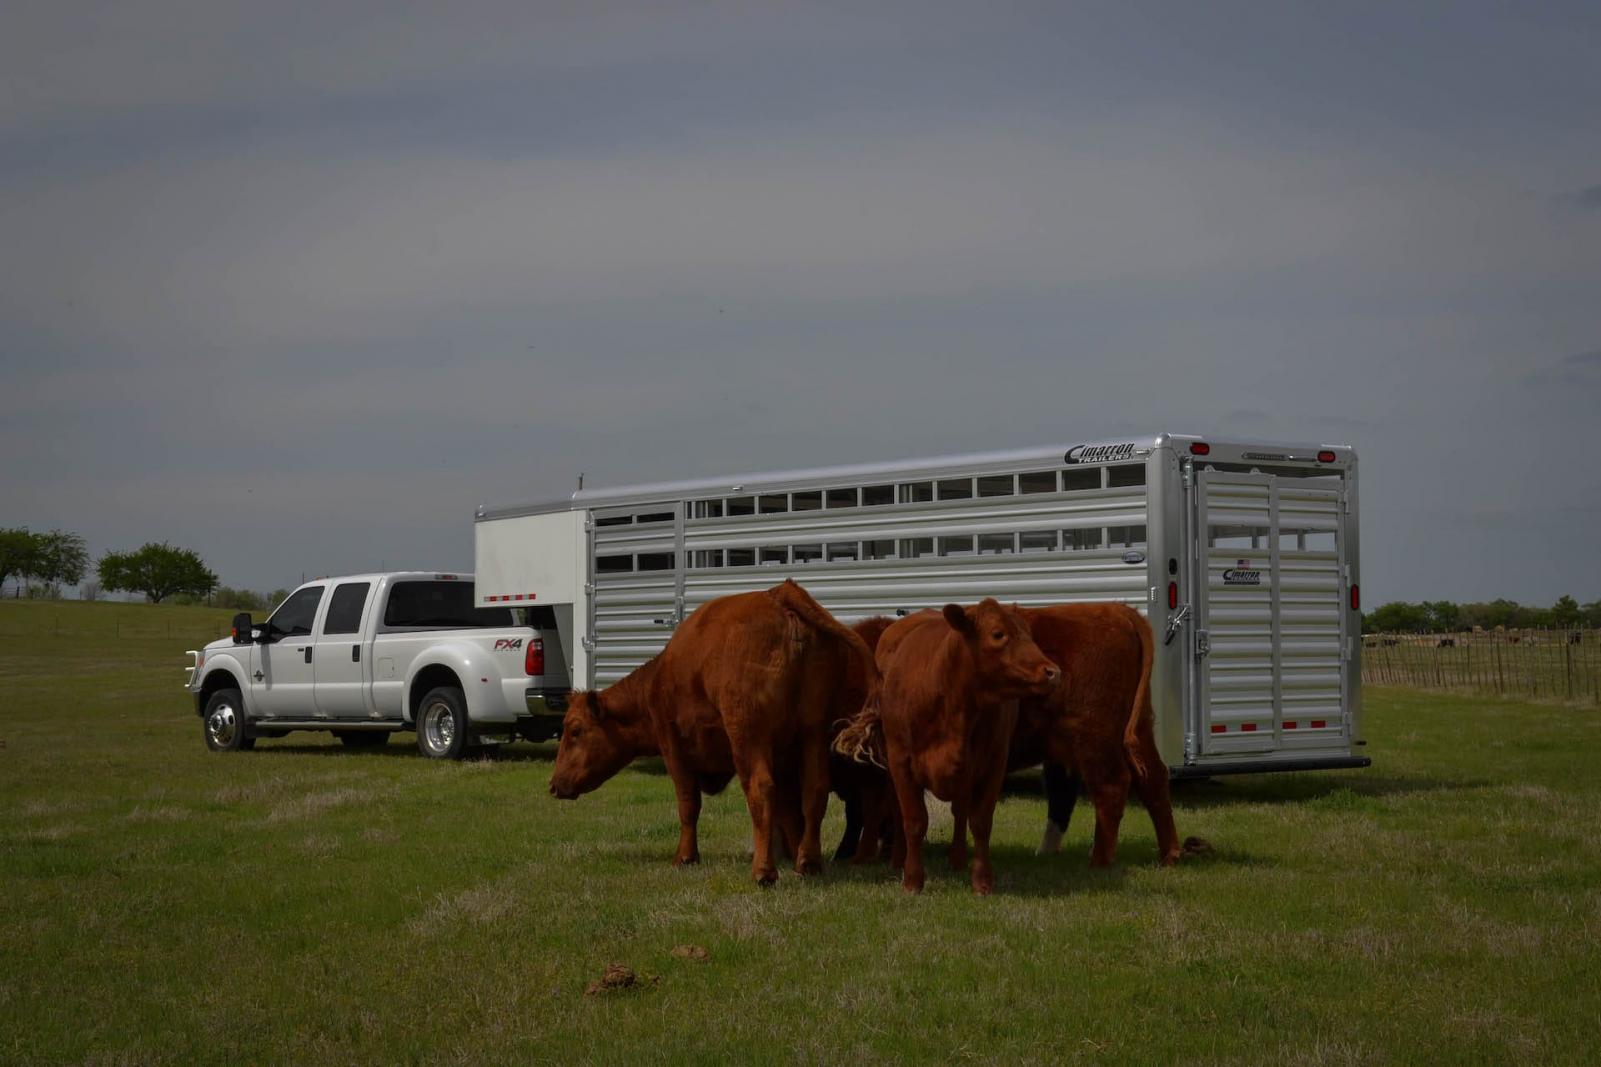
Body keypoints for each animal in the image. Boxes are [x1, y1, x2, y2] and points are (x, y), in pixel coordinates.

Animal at [547, 576, 877, 884]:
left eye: (574, 730)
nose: (553, 784)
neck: (659, 680)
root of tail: (780, 594)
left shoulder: (674, 750)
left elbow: (688, 804)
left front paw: (685, 857)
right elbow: (789, 809)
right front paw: (795, 854)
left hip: (747, 733)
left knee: (760, 788)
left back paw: (763, 872)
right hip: (813, 732)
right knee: (814, 789)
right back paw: (808, 863)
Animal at [838, 599, 1063, 890]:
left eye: (1030, 635)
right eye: (998, 634)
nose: (1053, 672)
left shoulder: (993, 764)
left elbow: (980, 822)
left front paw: (982, 882)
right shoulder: (901, 763)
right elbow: (913, 820)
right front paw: (912, 880)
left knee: (960, 812)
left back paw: (957, 859)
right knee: (898, 812)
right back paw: (898, 859)